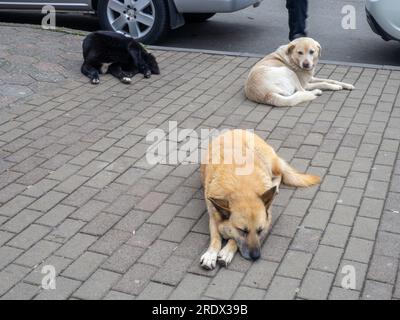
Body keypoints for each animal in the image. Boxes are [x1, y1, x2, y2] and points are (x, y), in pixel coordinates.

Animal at [202, 130, 320, 270]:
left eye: (260, 230)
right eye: (243, 231)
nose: (256, 256)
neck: (242, 188)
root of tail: (235, 130)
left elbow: (233, 240)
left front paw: (227, 251)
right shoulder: (213, 215)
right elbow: (215, 237)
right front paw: (211, 254)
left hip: (269, 163)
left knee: (279, 174)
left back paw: (275, 186)